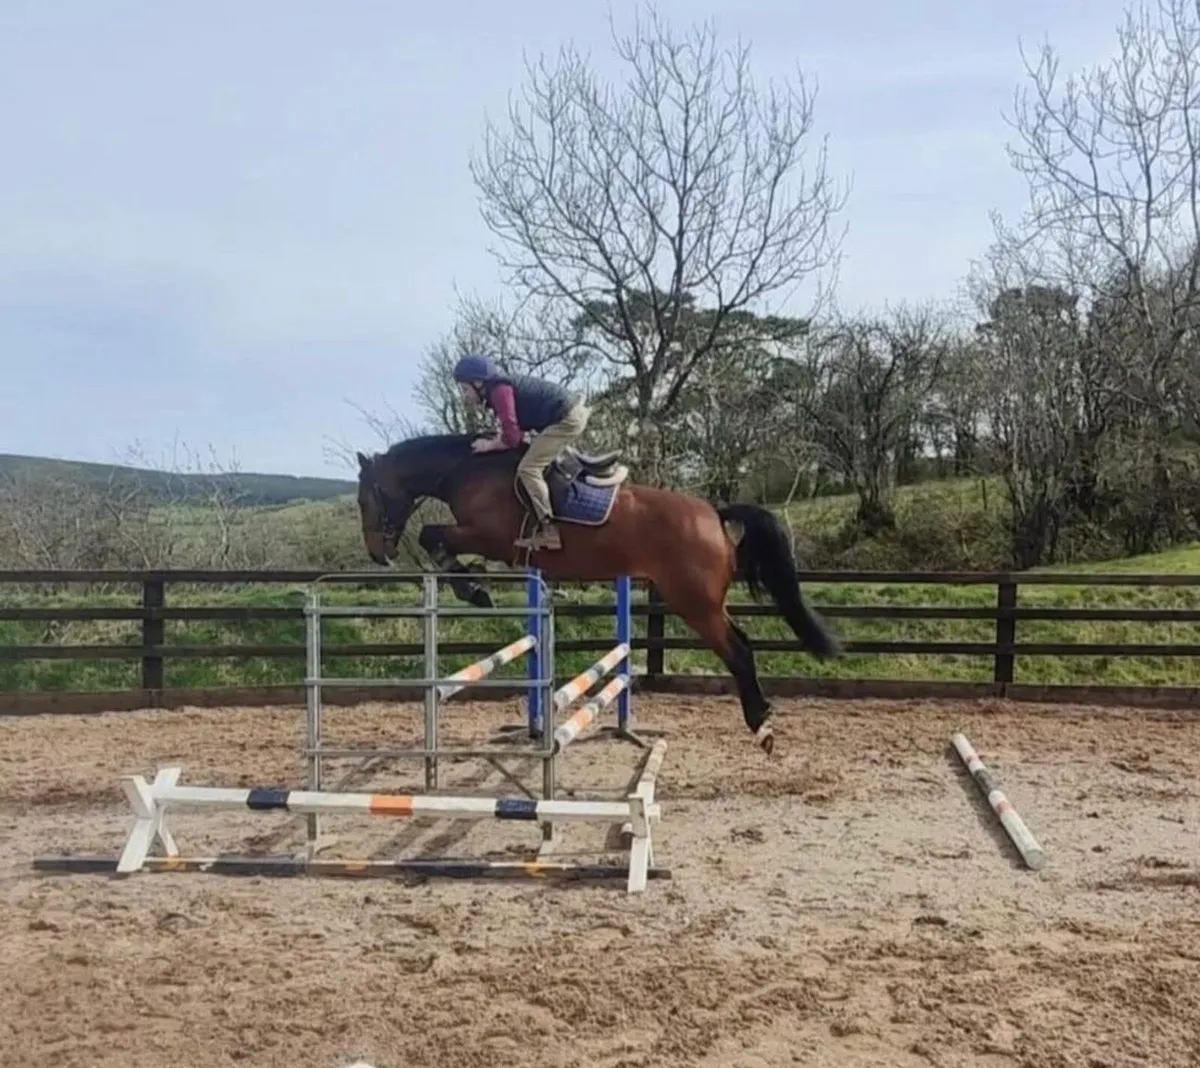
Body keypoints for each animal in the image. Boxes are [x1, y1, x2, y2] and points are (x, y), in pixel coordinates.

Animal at [353, 433, 842, 754]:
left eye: (364, 499)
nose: (378, 554)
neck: (466, 469)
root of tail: (711, 512)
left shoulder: (490, 537)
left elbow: (432, 535)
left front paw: (471, 587)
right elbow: (436, 538)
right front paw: (471, 583)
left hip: (694, 603)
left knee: (739, 651)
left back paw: (761, 727)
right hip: (700, 600)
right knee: (742, 646)